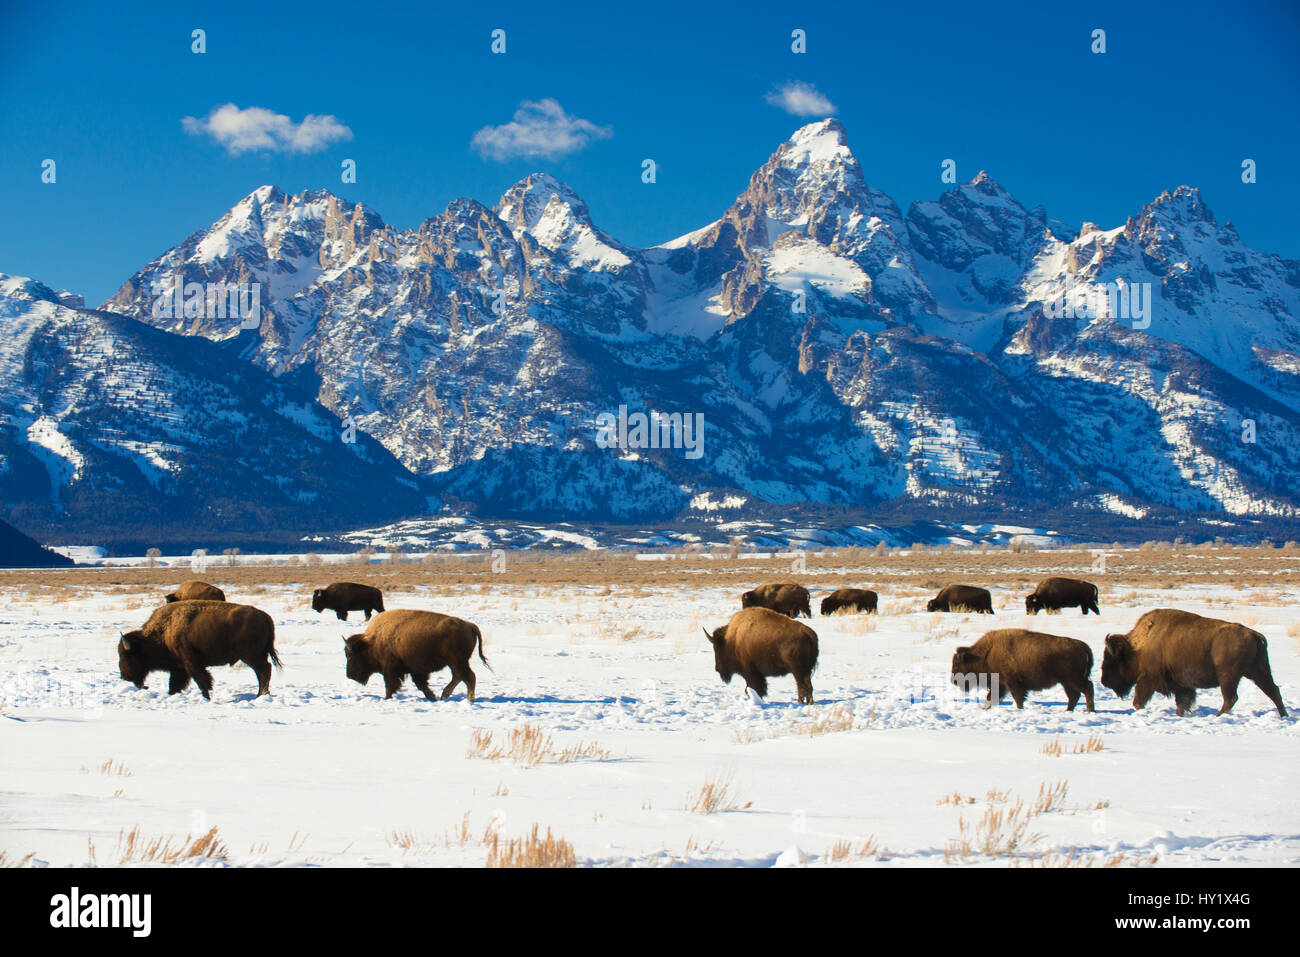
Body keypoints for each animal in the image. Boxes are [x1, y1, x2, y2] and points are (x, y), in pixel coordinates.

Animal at [118, 600, 281, 699]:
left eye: (127, 656)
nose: (124, 677)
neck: (164, 631)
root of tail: (266, 617)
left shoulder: (191, 663)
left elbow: (201, 680)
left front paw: (207, 697)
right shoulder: (179, 668)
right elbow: (175, 685)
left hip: (251, 656)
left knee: (264, 670)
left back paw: (260, 695)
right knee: (264, 671)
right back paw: (261, 694)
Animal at [344, 609, 488, 703]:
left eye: (351, 655)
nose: (349, 675)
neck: (371, 642)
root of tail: (469, 625)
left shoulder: (390, 669)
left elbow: (390, 685)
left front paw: (387, 698)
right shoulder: (415, 670)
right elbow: (422, 685)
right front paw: (432, 697)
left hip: (457, 662)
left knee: (468, 677)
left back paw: (469, 699)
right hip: (455, 663)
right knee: (459, 677)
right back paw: (444, 696)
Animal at [951, 629, 1095, 711]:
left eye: (957, 665)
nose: (954, 681)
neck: (987, 654)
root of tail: (1083, 646)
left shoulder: (1011, 683)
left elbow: (1017, 697)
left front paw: (1020, 709)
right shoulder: (1001, 684)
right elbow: (991, 696)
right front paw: (985, 708)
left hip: (1072, 680)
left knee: (1087, 689)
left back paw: (1089, 710)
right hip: (1066, 682)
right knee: (1074, 695)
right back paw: (1069, 710)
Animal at [1101, 609, 1287, 717]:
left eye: (1112, 661)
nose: (1104, 681)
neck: (1137, 647)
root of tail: (1254, 634)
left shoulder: (1148, 679)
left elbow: (1139, 700)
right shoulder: (1181, 686)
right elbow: (1182, 703)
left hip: (1229, 676)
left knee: (1231, 698)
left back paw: (1218, 716)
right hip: (1258, 672)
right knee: (1273, 691)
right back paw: (1284, 715)